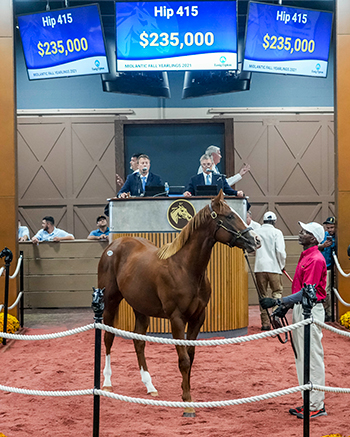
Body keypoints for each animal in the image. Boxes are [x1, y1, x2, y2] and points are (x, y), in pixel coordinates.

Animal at [98, 192, 260, 416]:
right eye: (229, 216)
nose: (255, 241)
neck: (185, 268)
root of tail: (114, 246)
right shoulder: (176, 319)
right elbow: (183, 360)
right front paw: (188, 404)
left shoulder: (198, 317)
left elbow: (190, 356)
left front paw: (185, 393)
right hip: (110, 301)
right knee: (108, 337)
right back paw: (107, 383)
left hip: (140, 308)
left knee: (139, 342)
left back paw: (150, 386)